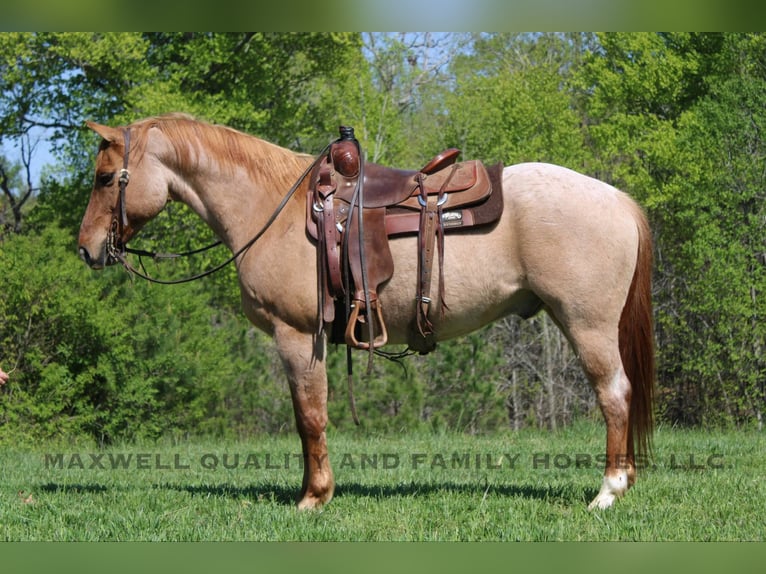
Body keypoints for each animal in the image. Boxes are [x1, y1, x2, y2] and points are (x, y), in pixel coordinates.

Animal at [77, 114, 655, 510]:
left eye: (106, 178)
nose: (86, 249)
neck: (272, 208)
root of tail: (617, 200)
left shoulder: (297, 336)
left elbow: (310, 417)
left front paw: (313, 498)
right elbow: (306, 418)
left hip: (586, 324)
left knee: (614, 394)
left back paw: (608, 491)